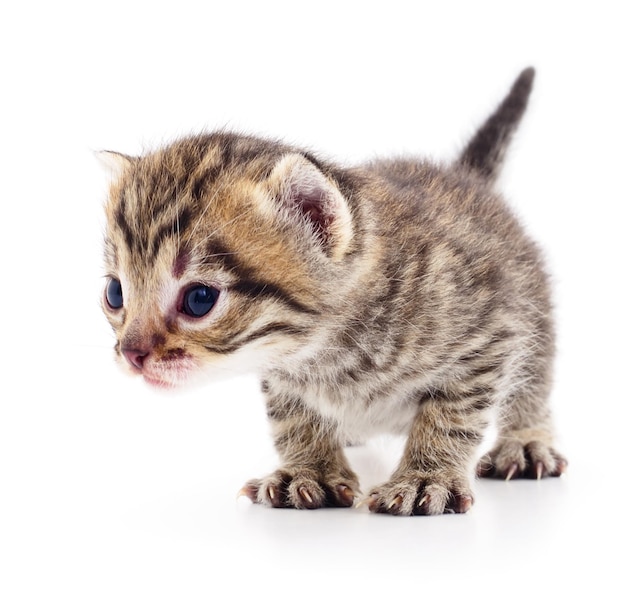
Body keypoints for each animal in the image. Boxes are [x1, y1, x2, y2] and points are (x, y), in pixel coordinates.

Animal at [101, 67, 564, 516]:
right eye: (115, 294)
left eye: (199, 300)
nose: (132, 354)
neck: (326, 352)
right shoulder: (281, 374)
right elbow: (292, 416)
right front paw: (310, 471)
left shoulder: (489, 337)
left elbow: (451, 414)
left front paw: (425, 477)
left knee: (532, 383)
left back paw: (525, 441)